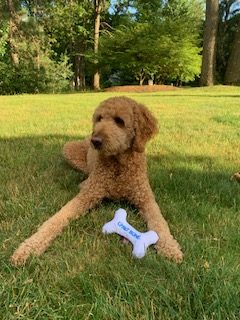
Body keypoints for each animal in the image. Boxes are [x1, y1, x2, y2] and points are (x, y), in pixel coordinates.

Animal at [11, 95, 183, 264]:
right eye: (99, 118)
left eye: (119, 121)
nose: (96, 140)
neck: (118, 165)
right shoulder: (88, 195)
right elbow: (57, 218)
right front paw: (30, 246)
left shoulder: (145, 198)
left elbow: (159, 222)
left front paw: (170, 247)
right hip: (69, 150)